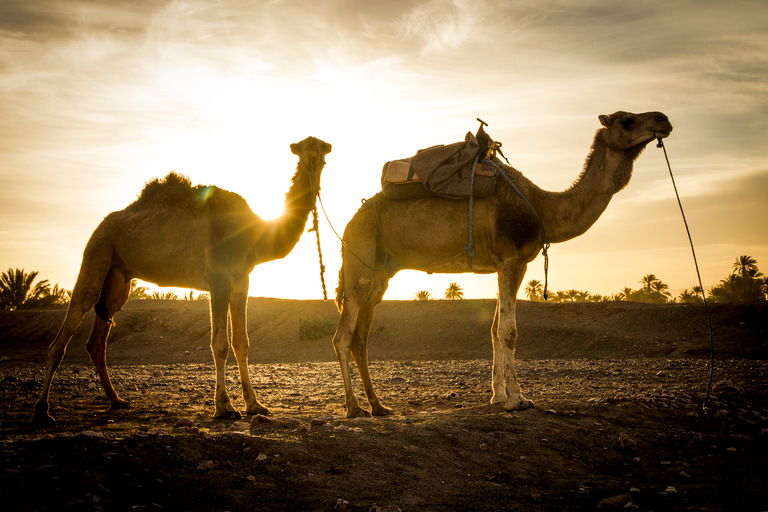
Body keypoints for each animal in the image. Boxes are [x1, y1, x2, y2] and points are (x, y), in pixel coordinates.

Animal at [31, 136, 332, 424]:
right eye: (304, 148)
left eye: (321, 148)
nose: (315, 155)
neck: (255, 234)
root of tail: (101, 225)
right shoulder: (219, 279)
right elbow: (220, 344)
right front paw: (224, 408)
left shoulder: (241, 281)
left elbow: (241, 342)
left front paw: (255, 405)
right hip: (98, 250)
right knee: (73, 319)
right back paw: (41, 411)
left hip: (117, 277)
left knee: (98, 338)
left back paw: (116, 400)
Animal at [330, 110, 672, 418]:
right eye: (626, 120)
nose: (663, 120)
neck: (543, 207)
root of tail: (352, 220)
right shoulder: (512, 259)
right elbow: (509, 331)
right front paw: (518, 400)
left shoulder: (507, 264)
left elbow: (494, 329)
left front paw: (497, 395)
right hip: (360, 259)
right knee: (343, 335)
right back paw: (354, 408)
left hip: (380, 271)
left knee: (361, 337)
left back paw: (378, 406)